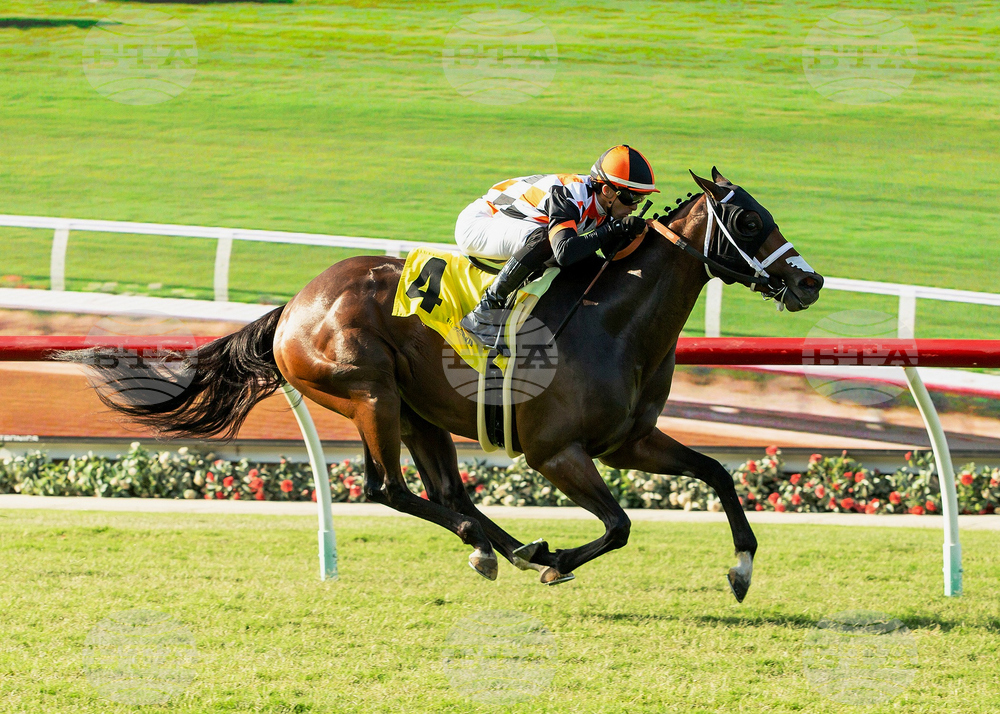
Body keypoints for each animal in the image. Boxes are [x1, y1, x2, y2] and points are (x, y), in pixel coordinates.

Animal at [68, 168, 823, 602]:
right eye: (749, 219)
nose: (809, 281)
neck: (612, 326)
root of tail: (292, 307)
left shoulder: (628, 442)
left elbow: (717, 475)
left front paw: (742, 569)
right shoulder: (556, 453)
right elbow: (619, 525)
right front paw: (558, 562)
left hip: (419, 410)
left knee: (446, 492)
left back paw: (506, 547)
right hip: (370, 392)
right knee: (390, 489)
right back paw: (508, 548)